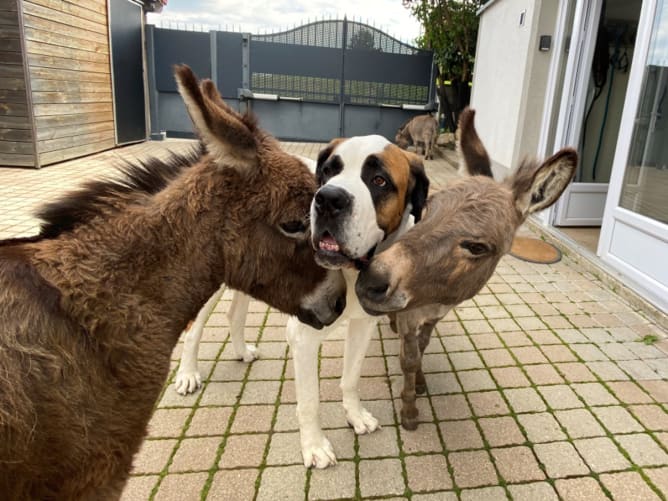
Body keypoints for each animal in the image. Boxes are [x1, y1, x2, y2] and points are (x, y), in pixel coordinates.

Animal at [288, 134, 428, 468]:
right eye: (329, 171)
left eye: (379, 180)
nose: (328, 199)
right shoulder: (304, 336)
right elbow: (309, 400)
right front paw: (314, 445)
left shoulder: (364, 326)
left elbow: (351, 376)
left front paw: (355, 415)